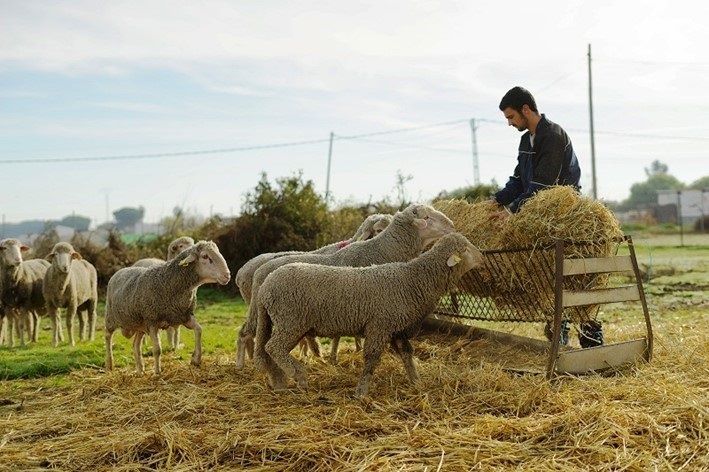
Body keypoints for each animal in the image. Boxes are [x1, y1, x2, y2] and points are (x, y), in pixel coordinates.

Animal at [104, 242, 230, 374]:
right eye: (205, 256)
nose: (227, 275)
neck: (169, 282)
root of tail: (120, 271)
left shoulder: (184, 316)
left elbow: (199, 330)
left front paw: (196, 359)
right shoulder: (152, 321)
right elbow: (157, 349)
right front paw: (157, 372)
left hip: (140, 325)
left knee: (135, 345)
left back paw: (140, 370)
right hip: (111, 317)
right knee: (107, 336)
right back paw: (109, 364)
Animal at [235, 205, 450, 370]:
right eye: (427, 217)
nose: (451, 225)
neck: (379, 250)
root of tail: (251, 270)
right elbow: (341, 335)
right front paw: (337, 356)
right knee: (247, 333)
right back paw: (243, 364)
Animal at [253, 234, 482, 396]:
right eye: (465, 248)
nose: (481, 256)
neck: (414, 280)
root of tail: (265, 286)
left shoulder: (396, 328)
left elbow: (407, 354)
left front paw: (416, 381)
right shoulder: (379, 325)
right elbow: (371, 358)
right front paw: (361, 391)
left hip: (284, 322)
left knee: (268, 350)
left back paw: (280, 382)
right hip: (290, 321)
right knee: (274, 348)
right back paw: (299, 376)